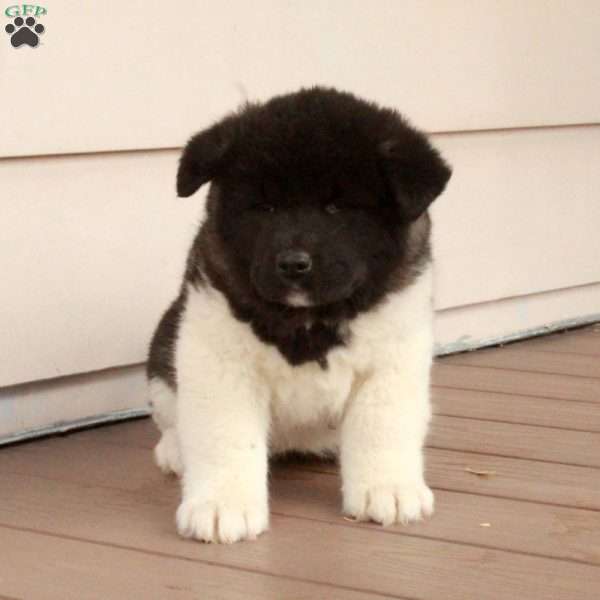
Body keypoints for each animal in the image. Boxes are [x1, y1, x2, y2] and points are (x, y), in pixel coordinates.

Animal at [148, 85, 452, 544]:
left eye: (336, 208)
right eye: (265, 208)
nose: (293, 264)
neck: (311, 318)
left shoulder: (392, 361)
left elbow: (382, 427)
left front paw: (388, 489)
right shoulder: (216, 358)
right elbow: (225, 436)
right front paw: (221, 506)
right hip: (164, 353)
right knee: (171, 420)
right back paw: (174, 450)